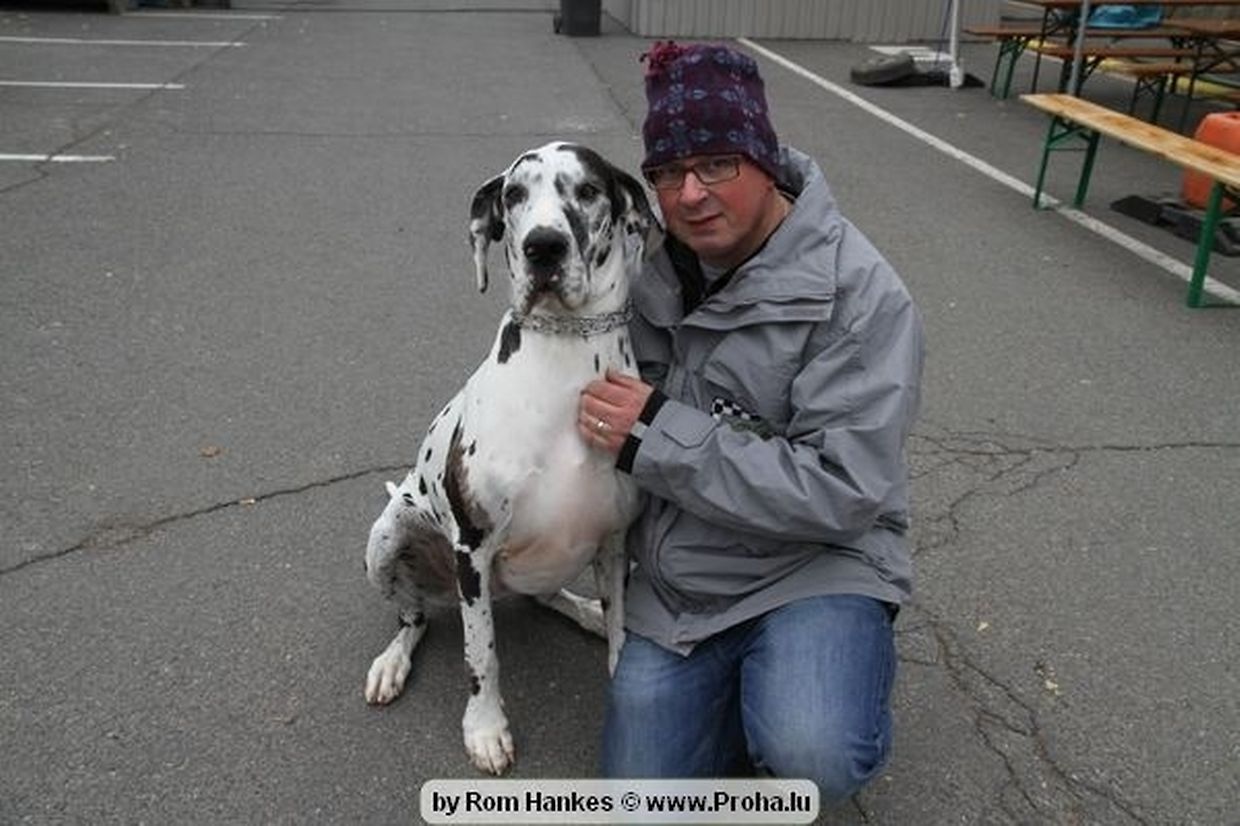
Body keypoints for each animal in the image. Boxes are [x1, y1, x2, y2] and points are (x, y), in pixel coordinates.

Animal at [362, 142, 658, 775]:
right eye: (515, 194)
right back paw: (392, 662)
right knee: (413, 618)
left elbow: (624, 632)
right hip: (387, 542)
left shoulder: (615, 540)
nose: (543, 247)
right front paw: (485, 729)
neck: (566, 356)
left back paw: (584, 611)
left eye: (588, 190)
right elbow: (482, 655)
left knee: (546, 596)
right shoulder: (472, 549)